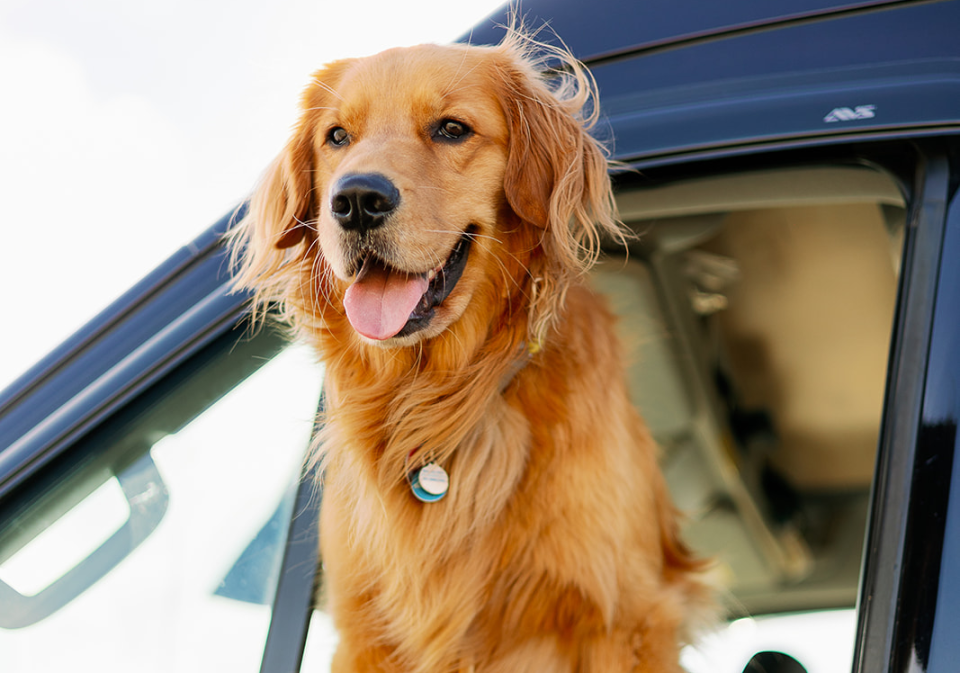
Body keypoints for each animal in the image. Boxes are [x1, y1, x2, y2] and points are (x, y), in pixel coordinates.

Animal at [232, 27, 712, 672]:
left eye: (452, 129)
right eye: (336, 137)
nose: (355, 200)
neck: (437, 397)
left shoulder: (621, 618)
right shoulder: (364, 632)